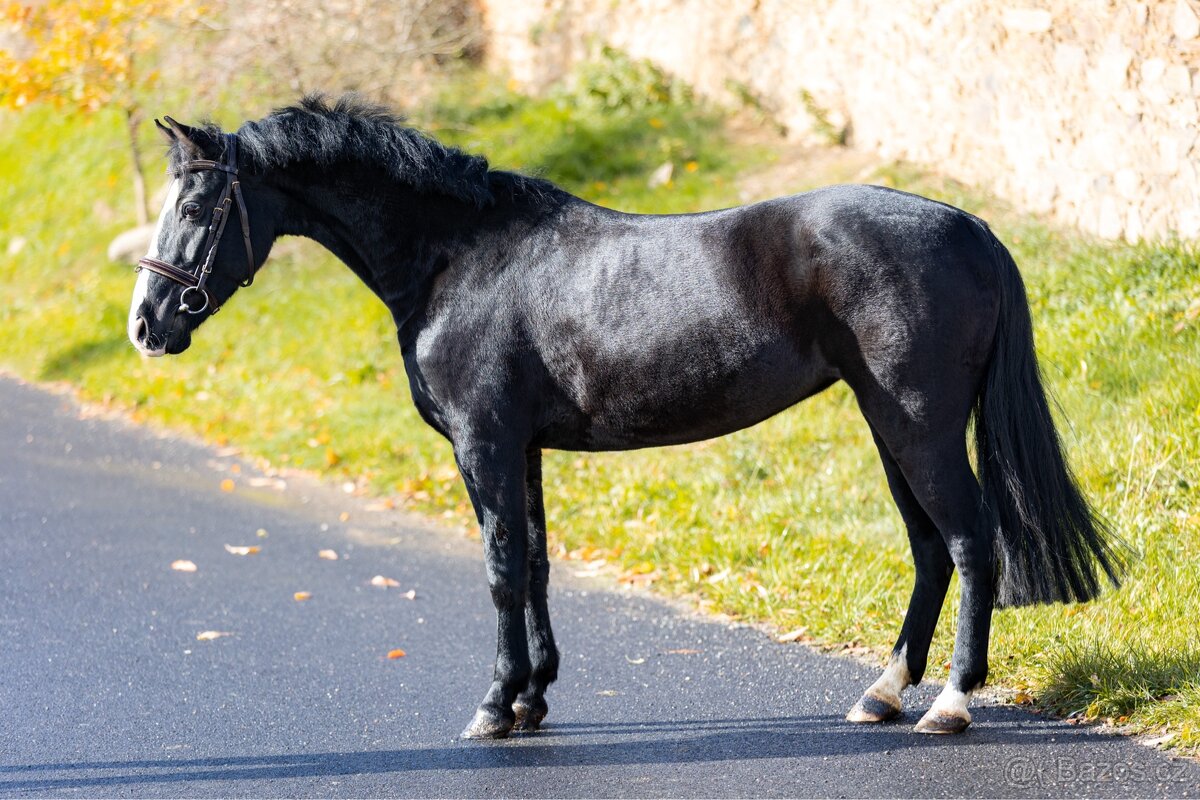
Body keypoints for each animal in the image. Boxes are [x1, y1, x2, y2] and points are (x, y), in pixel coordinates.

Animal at [127, 95, 1126, 739]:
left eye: (199, 203)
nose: (145, 324)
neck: (460, 257)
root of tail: (969, 225)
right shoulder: (521, 450)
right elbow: (534, 565)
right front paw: (531, 699)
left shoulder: (485, 445)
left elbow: (500, 570)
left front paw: (493, 707)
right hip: (889, 427)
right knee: (929, 550)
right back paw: (882, 693)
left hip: (919, 426)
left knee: (968, 542)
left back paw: (951, 703)